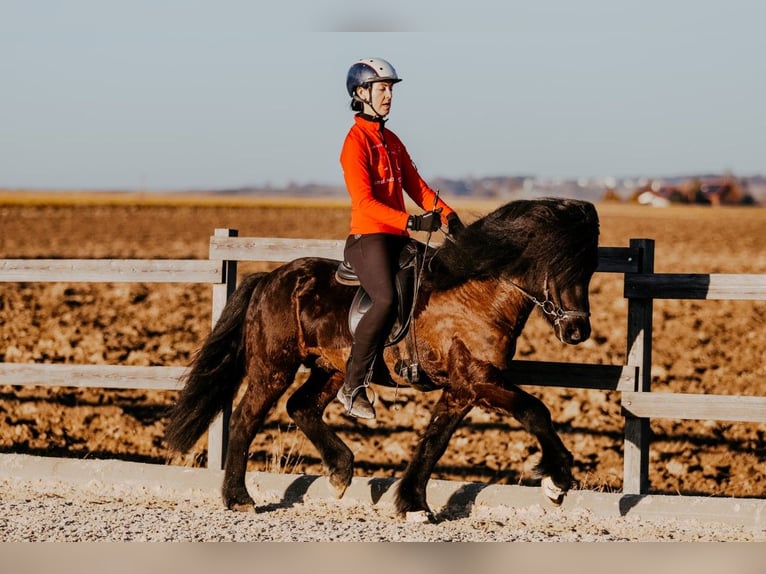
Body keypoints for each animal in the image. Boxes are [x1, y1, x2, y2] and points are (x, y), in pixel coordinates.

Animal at [164, 197, 600, 521]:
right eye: (561, 263)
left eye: (590, 267)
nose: (578, 331)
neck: (476, 294)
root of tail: (270, 279)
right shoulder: (481, 378)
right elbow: (536, 411)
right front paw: (557, 480)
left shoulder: (462, 388)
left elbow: (434, 440)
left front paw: (412, 503)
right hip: (274, 366)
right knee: (246, 417)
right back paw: (238, 497)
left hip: (331, 369)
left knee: (301, 407)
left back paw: (341, 471)